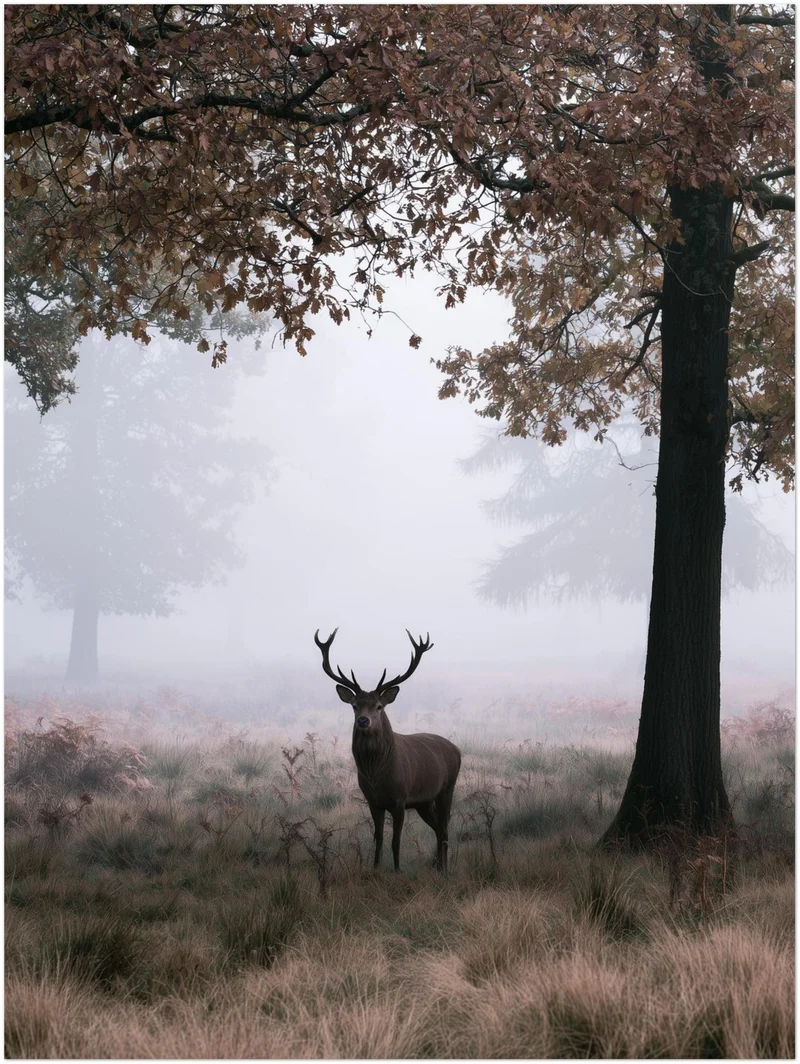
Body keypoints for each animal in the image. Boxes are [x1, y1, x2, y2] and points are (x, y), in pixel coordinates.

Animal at [314, 628, 461, 873]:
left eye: (379, 706)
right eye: (355, 706)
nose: (363, 721)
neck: (377, 775)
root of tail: (457, 750)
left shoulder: (400, 798)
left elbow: (396, 839)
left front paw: (397, 869)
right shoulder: (373, 801)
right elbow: (379, 837)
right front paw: (375, 868)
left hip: (447, 788)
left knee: (444, 828)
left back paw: (444, 869)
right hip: (423, 802)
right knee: (438, 829)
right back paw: (438, 866)